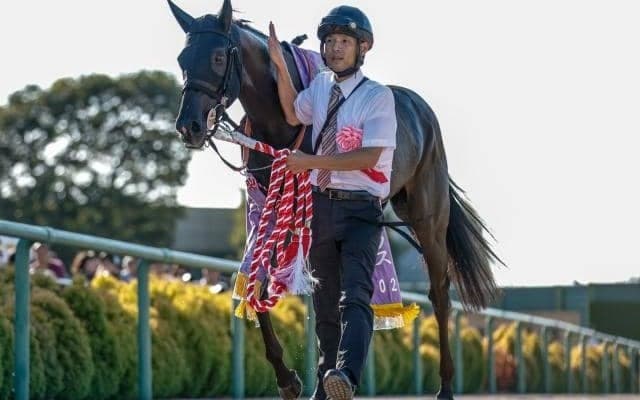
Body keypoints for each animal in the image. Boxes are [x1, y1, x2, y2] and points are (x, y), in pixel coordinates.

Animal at [168, 1, 502, 398]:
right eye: (182, 58)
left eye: (218, 57)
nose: (188, 126)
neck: (280, 122)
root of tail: (420, 108)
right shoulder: (271, 208)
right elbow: (260, 283)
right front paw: (289, 379)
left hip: (429, 219)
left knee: (439, 294)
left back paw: (444, 385)